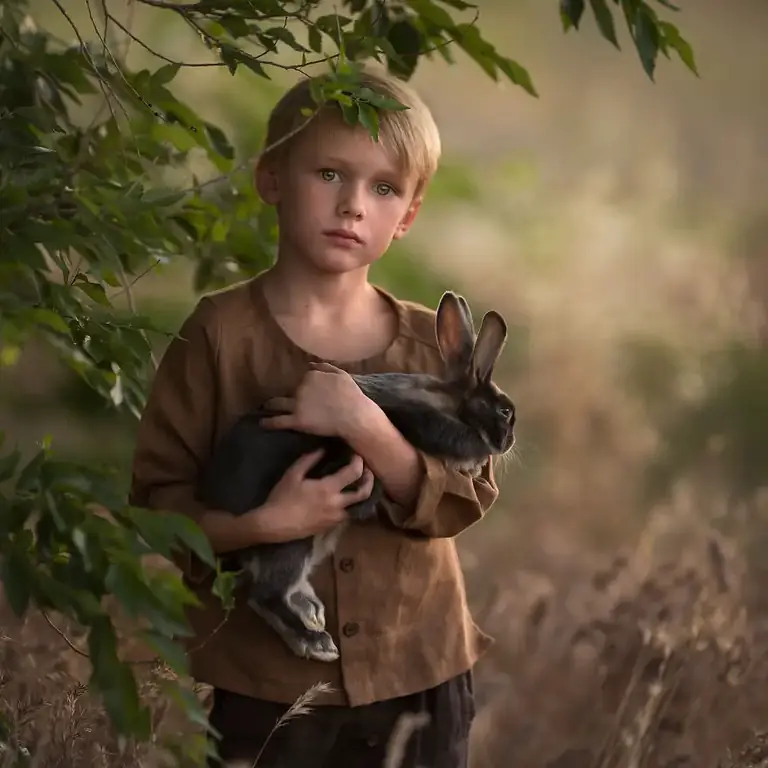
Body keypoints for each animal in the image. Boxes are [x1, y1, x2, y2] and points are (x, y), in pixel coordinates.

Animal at [196, 292, 516, 664]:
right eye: (504, 411)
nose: (507, 442)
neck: (450, 404)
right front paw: (469, 463)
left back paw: (312, 611)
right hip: (291, 535)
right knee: (266, 594)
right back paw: (315, 641)